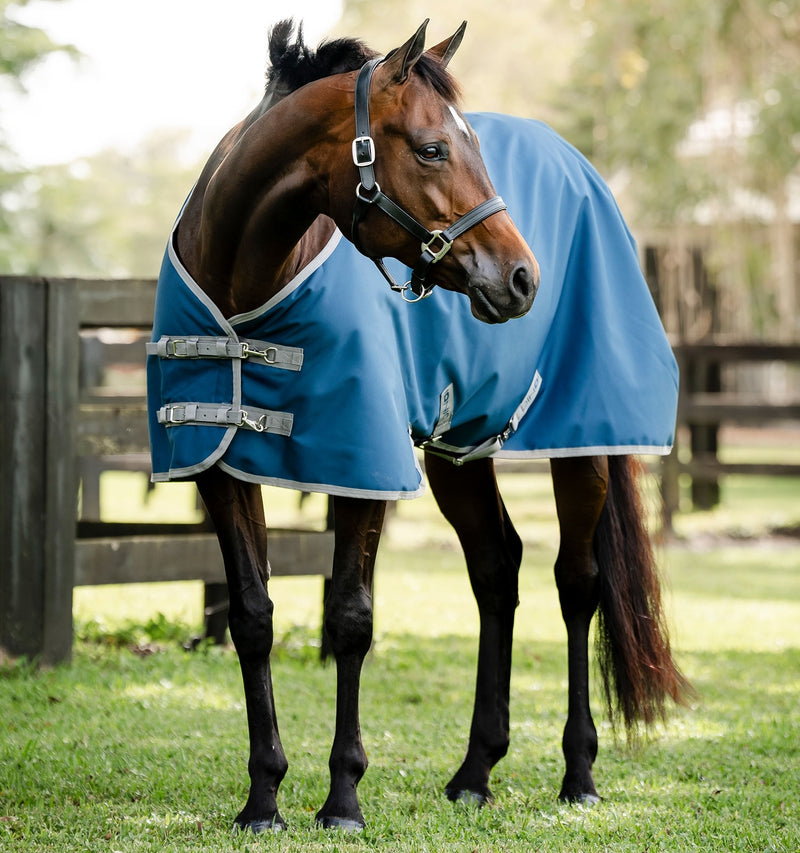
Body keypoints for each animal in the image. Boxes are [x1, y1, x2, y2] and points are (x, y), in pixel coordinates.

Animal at [147, 19, 688, 832]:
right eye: (433, 149)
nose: (523, 278)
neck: (250, 279)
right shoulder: (217, 465)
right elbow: (251, 615)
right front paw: (263, 797)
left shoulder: (362, 464)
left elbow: (350, 618)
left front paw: (342, 797)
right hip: (458, 452)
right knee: (497, 570)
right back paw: (475, 772)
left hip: (582, 444)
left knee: (578, 583)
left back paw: (579, 773)